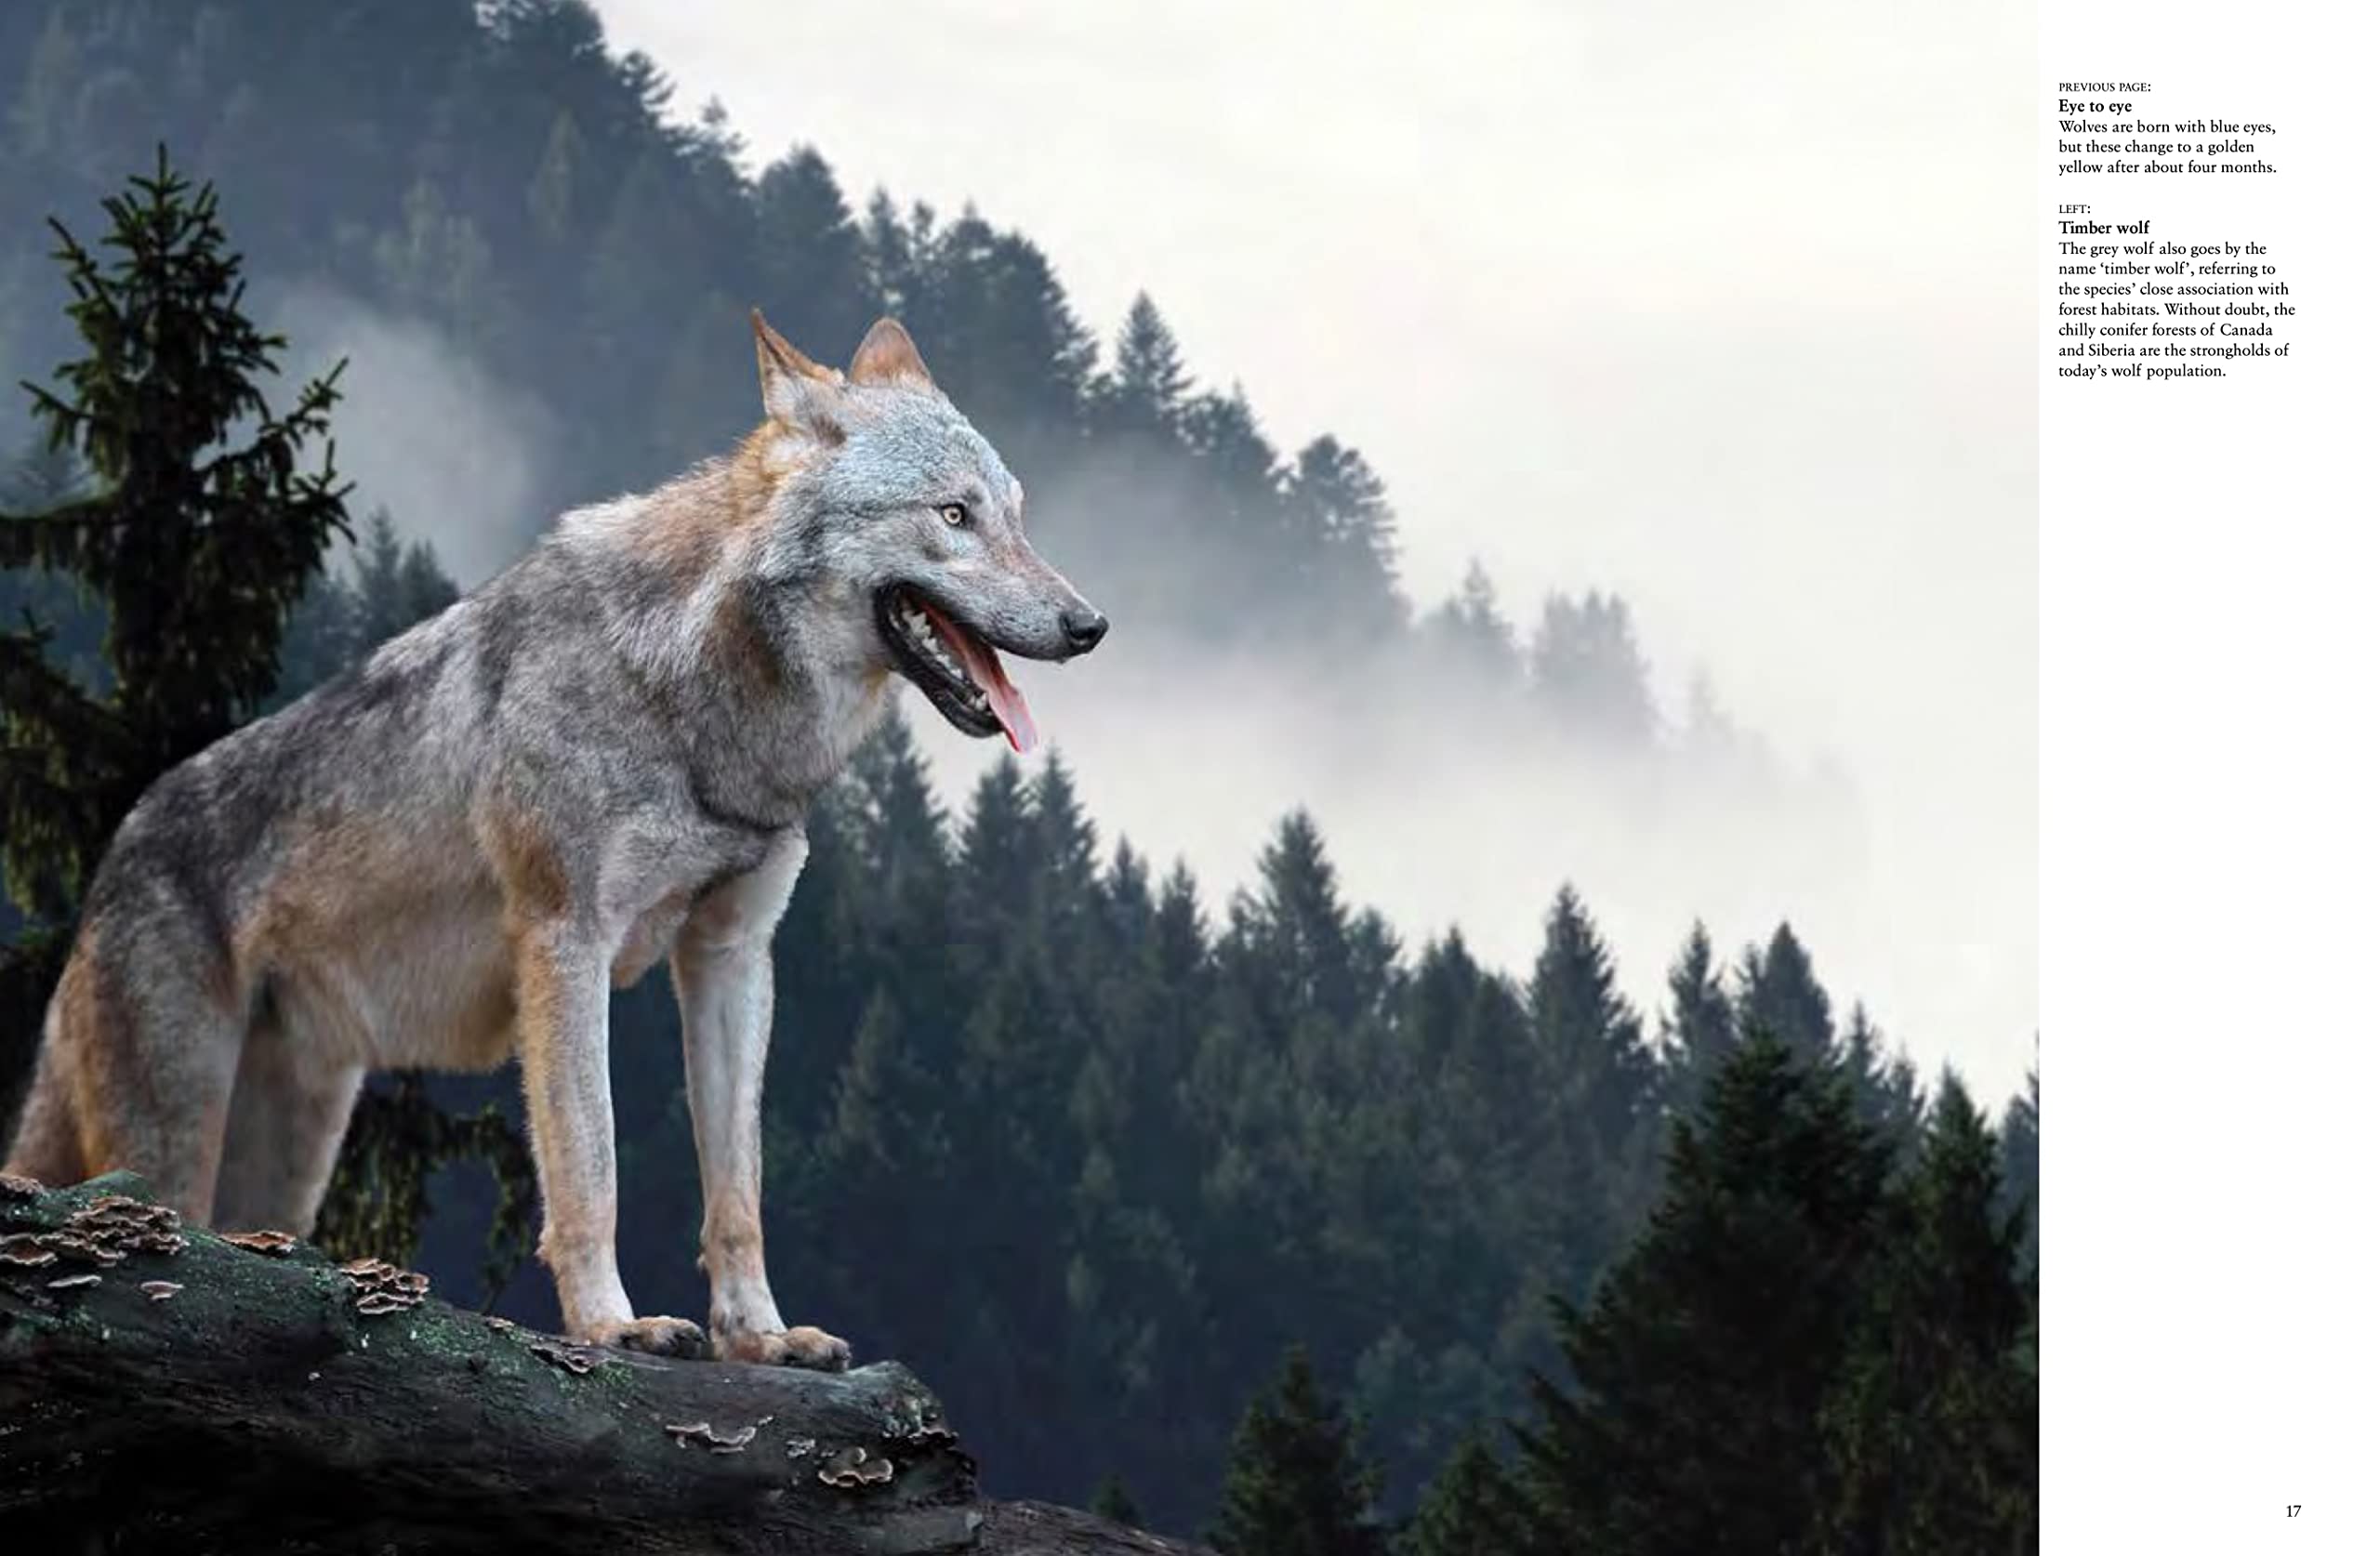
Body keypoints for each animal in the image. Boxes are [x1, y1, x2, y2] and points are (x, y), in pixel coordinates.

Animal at [3, 313, 1106, 1365]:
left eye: (1014, 514)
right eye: (953, 515)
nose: (1089, 625)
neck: (695, 698)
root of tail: (113, 857)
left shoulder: (733, 956)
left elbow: (737, 1190)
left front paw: (760, 1337)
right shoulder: (566, 942)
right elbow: (591, 1165)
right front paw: (613, 1327)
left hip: (288, 1162)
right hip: (173, 1144)